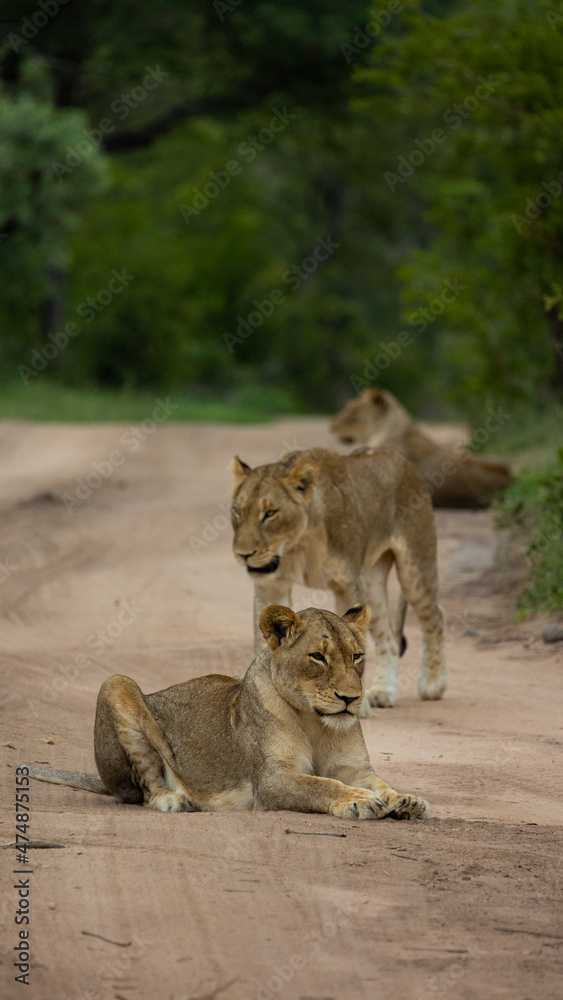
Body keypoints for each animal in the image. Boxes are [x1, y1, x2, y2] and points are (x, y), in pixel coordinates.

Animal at [26, 605, 429, 820]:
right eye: (318, 656)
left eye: (357, 656)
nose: (351, 698)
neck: (315, 721)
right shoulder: (271, 780)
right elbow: (321, 784)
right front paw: (359, 801)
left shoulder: (355, 769)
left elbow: (380, 782)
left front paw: (405, 800)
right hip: (117, 684)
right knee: (144, 787)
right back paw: (175, 800)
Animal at [231, 446, 446, 709]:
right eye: (238, 511)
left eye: (270, 513)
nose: (243, 555)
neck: (298, 545)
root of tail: (396, 454)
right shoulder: (271, 585)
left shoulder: (348, 584)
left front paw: (358, 708)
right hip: (372, 584)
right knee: (390, 639)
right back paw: (383, 691)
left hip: (414, 570)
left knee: (435, 618)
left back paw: (433, 684)